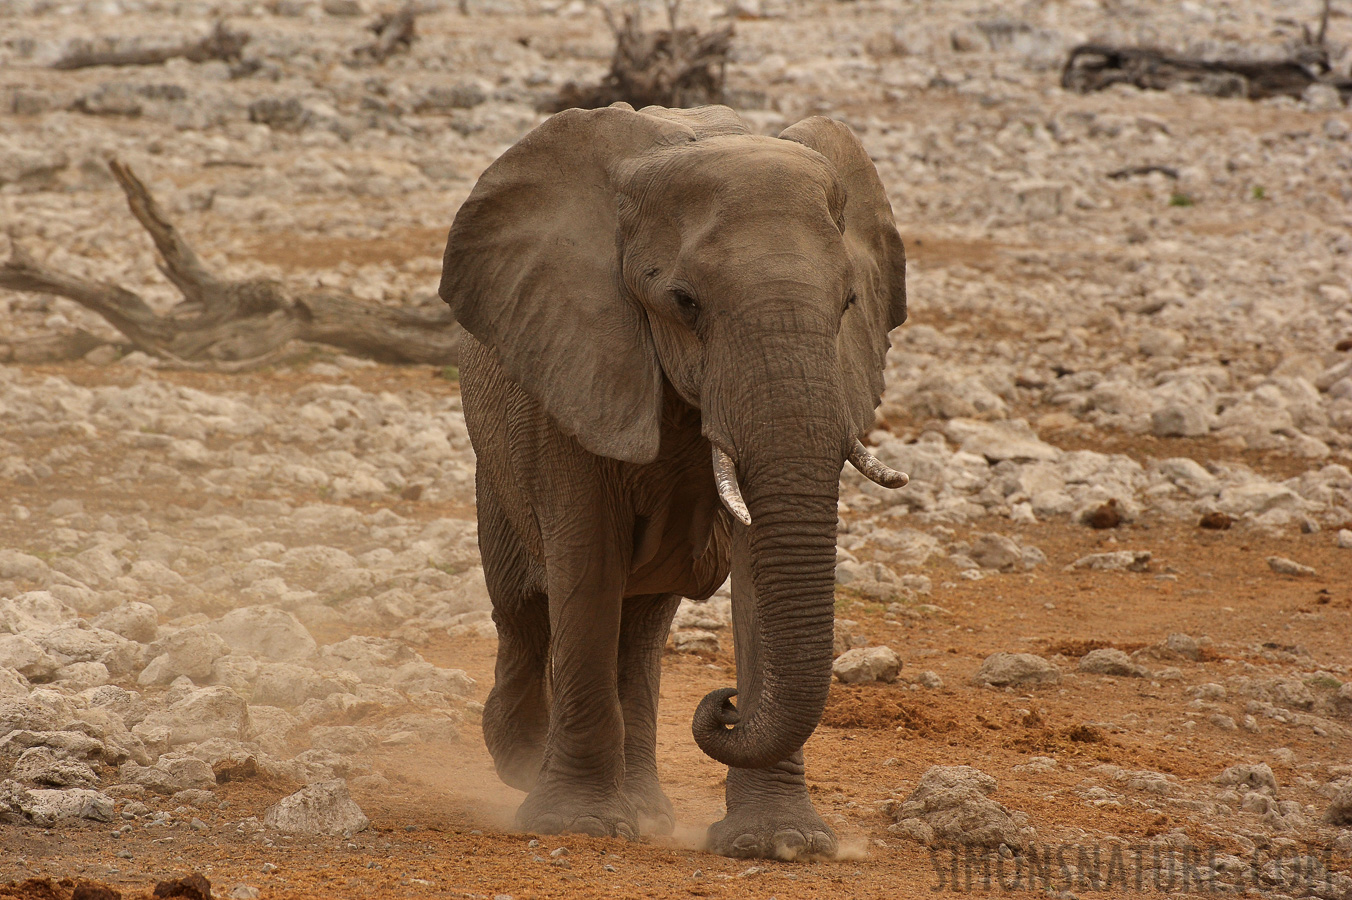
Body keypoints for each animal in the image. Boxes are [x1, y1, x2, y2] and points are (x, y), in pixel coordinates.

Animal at [440, 101, 908, 859]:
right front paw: (578, 825)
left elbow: (755, 574)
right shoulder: (579, 358)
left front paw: (782, 844)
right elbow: (586, 562)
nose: (725, 703)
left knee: (640, 625)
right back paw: (519, 761)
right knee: (523, 608)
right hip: (495, 457)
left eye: (847, 303)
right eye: (685, 302)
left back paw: (649, 814)